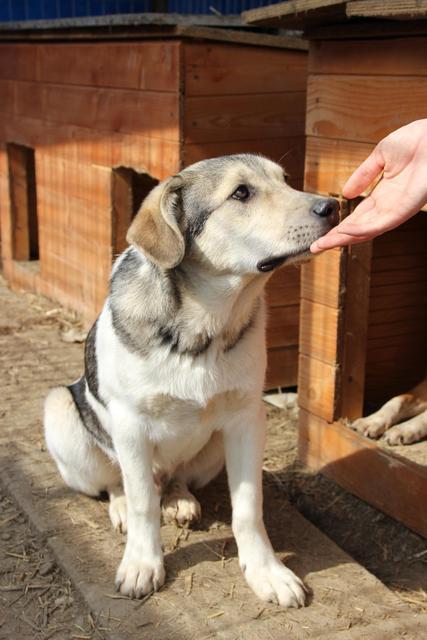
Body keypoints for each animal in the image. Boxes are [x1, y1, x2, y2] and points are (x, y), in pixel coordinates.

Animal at [43, 155, 340, 608]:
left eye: (287, 181)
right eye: (241, 193)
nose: (333, 206)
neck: (204, 326)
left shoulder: (247, 420)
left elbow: (248, 508)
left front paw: (266, 572)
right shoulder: (130, 426)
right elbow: (143, 503)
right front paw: (142, 563)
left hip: (212, 449)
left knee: (174, 477)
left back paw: (179, 498)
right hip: (60, 410)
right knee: (119, 482)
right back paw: (123, 506)